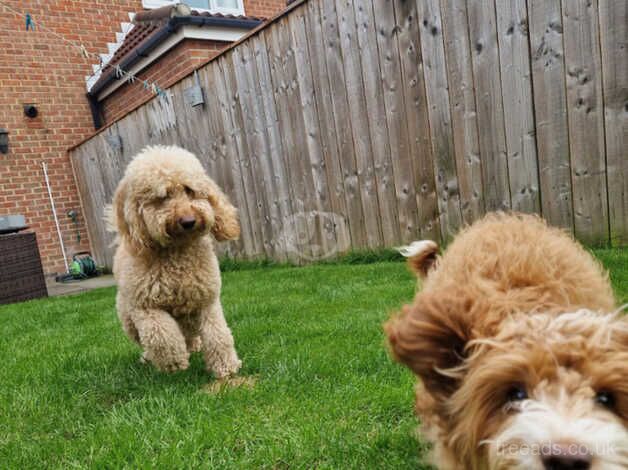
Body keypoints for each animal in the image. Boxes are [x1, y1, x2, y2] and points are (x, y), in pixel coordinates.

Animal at [110, 145, 243, 376]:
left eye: (189, 190)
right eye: (162, 197)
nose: (188, 221)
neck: (177, 255)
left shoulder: (207, 301)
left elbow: (218, 334)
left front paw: (226, 367)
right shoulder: (146, 307)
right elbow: (162, 337)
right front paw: (174, 363)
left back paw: (194, 345)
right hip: (128, 318)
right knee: (148, 340)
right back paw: (151, 357)